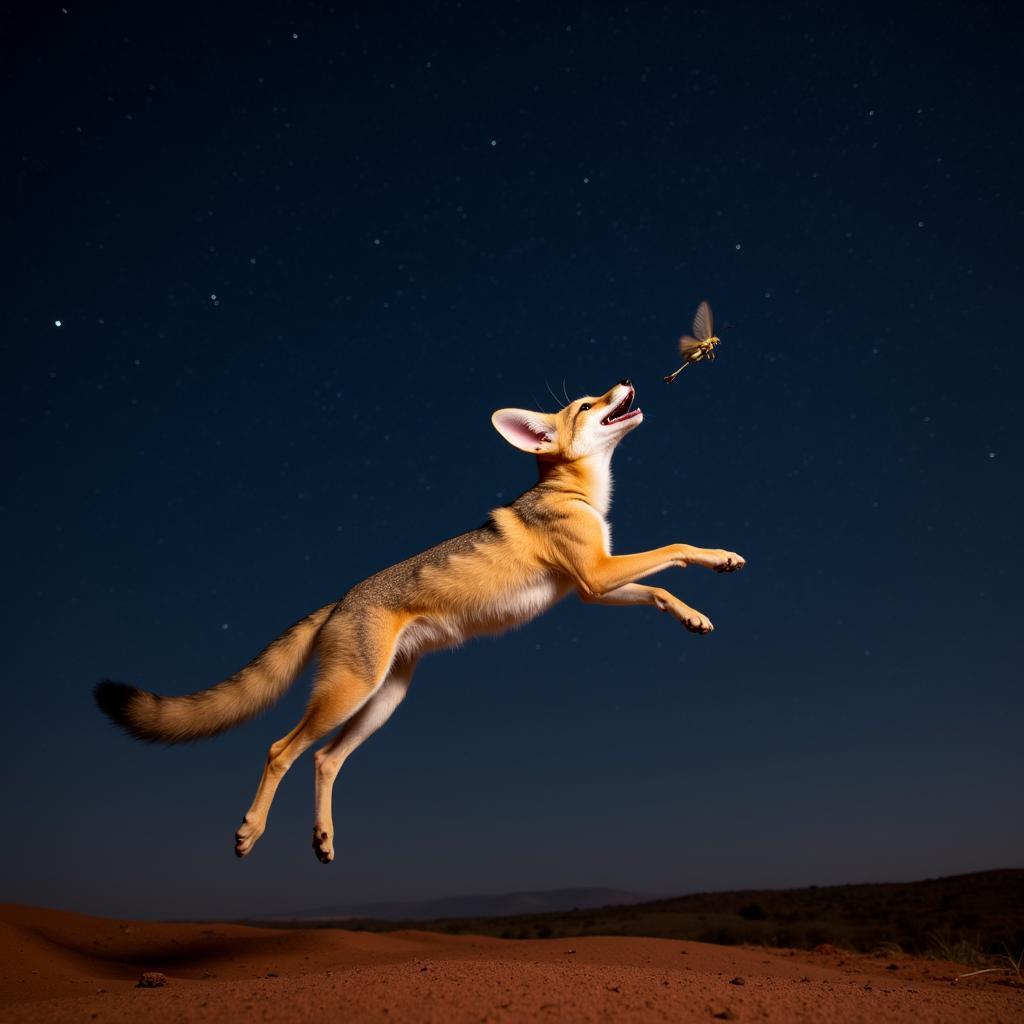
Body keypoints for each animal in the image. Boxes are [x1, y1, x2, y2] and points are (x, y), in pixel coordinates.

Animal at [96, 382, 745, 864]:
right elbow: (676, 548)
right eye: (586, 405)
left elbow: (660, 587)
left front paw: (696, 612)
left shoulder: (592, 587)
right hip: (348, 694)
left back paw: (323, 839)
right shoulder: (597, 573)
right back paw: (250, 831)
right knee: (281, 750)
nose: (627, 380)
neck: (577, 494)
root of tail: (338, 601)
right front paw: (717, 558)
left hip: (383, 701)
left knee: (324, 760)